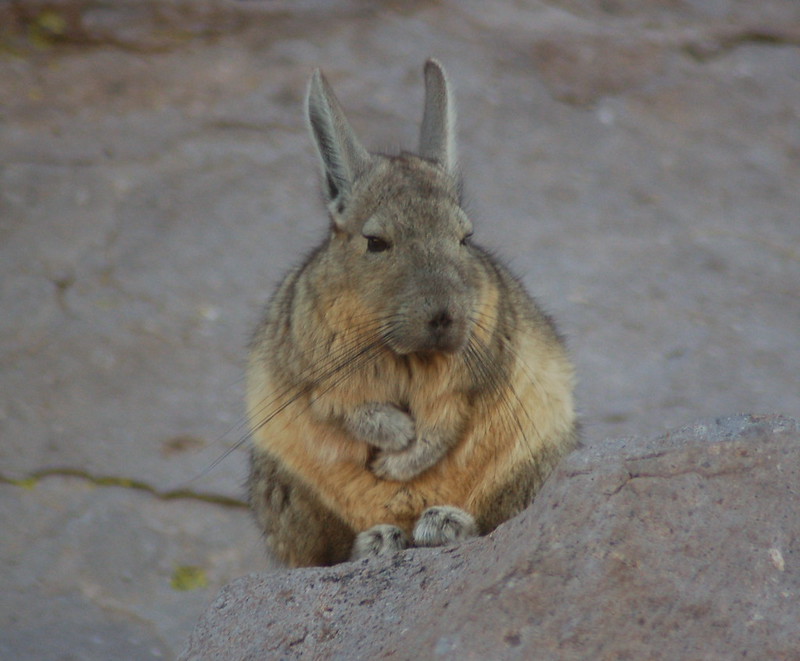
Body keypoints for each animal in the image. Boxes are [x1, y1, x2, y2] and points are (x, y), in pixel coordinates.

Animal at [247, 59, 577, 567]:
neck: (405, 352)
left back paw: (442, 524)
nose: (444, 316)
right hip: (287, 489)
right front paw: (395, 442)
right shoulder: (316, 377)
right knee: (328, 552)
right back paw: (380, 539)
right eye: (375, 241)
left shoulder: (470, 379)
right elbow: (351, 410)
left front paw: (395, 463)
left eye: (465, 237)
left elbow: (442, 426)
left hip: (536, 464)